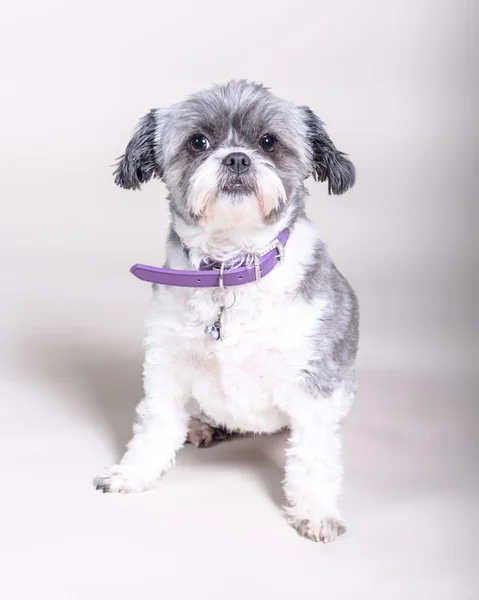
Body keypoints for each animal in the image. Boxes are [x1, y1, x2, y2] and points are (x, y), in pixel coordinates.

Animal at [95, 81, 360, 544]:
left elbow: (313, 454)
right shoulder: (166, 365)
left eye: (268, 142)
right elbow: (154, 426)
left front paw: (315, 511)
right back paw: (201, 425)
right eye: (199, 142)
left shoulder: (314, 383)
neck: (228, 270)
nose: (237, 157)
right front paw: (133, 474)